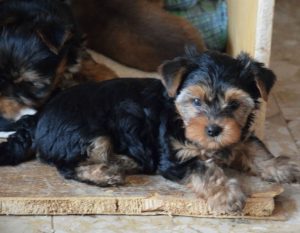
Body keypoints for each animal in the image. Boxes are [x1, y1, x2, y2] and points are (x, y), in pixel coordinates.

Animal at [1, 50, 298, 214]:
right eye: (196, 102)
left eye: (235, 105)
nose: (213, 130)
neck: (180, 118)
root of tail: (38, 118)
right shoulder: (175, 156)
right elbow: (204, 169)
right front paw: (226, 194)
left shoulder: (238, 134)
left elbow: (254, 146)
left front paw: (279, 167)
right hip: (86, 133)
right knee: (66, 165)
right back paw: (106, 173)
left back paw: (122, 162)